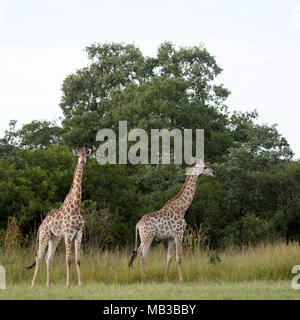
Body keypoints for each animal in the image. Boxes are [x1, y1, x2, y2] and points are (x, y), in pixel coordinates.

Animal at [25, 145, 91, 288]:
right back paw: (33, 284)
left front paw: (80, 283)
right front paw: (68, 284)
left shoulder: (79, 233)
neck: (76, 206)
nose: (82, 162)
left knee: (48, 258)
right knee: (38, 257)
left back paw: (48, 284)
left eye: (86, 155)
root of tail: (41, 225)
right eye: (78, 155)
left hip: (54, 238)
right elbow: (68, 259)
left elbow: (78, 259)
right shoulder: (68, 233)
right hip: (44, 236)